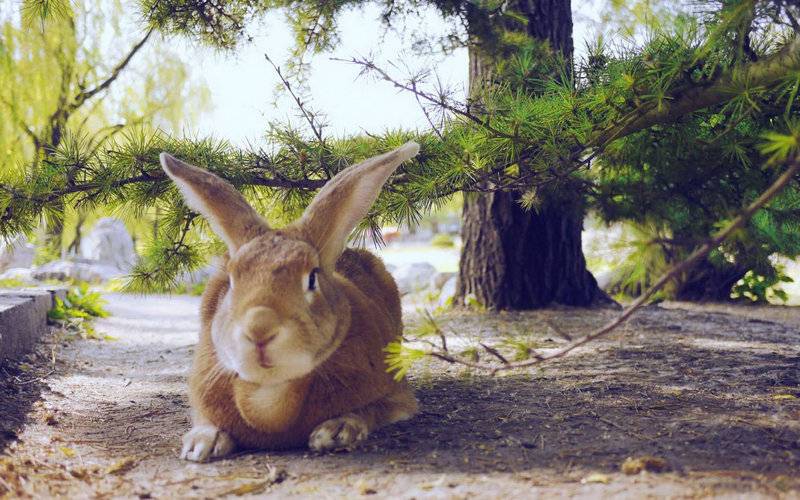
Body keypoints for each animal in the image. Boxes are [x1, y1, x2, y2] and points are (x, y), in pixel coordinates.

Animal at [155, 140, 418, 460]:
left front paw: (337, 431)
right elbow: (204, 419)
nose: (259, 329)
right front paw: (202, 443)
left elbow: (373, 410)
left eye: (312, 279)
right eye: (231, 280)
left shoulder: (397, 394)